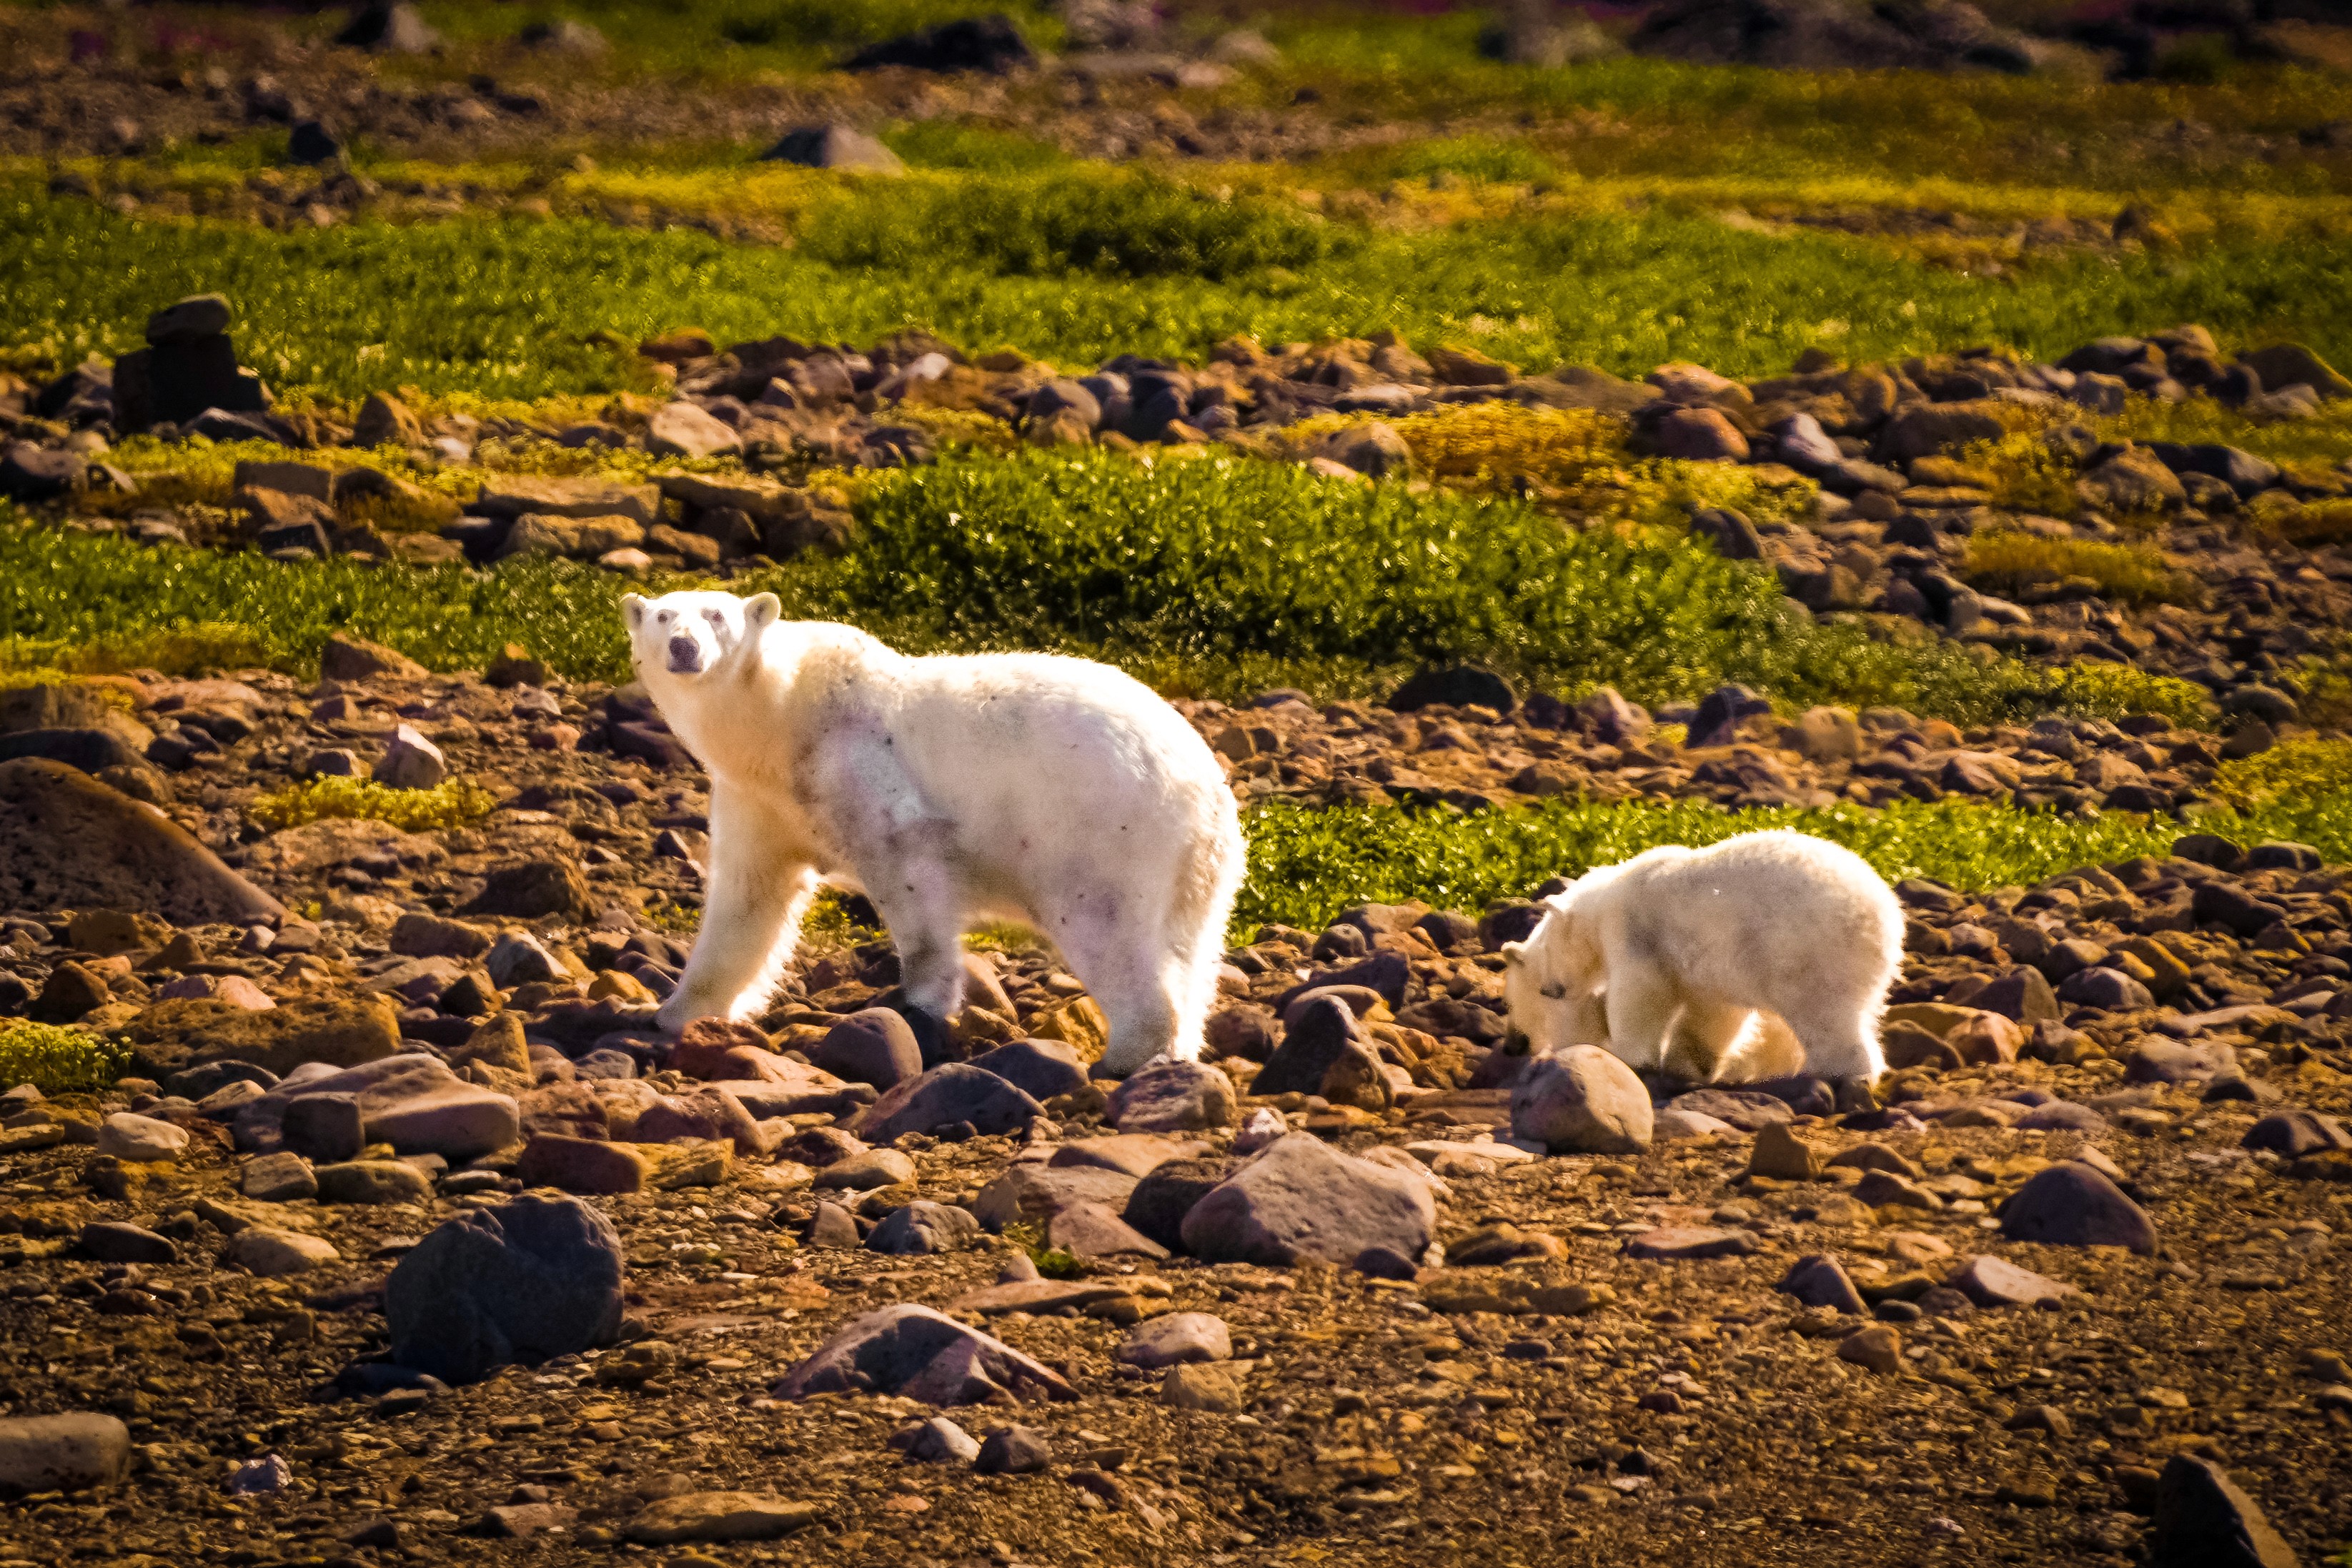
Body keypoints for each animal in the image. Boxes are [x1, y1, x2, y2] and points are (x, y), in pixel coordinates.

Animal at [619, 589, 1245, 1076]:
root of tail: (1205, 787)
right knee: (1191, 948)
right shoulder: (759, 798)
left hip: (1101, 830)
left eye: (716, 615)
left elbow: (909, 871)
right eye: (663, 616)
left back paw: (1126, 1054)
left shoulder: (855, 766)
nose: (684, 647)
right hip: (1196, 867)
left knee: (1105, 926)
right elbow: (748, 900)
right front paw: (673, 1012)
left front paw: (917, 1003)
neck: (779, 717)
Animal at [1500, 829, 1903, 1110]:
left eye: (1532, 993)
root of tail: (1883, 918)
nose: (1514, 1045)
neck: (1602, 903)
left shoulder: (1635, 931)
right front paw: (1689, 1065)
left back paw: (1828, 1074)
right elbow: (1714, 1012)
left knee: (1823, 1015)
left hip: (1808, 952)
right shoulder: (1715, 964)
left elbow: (1641, 993)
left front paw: (1625, 1056)